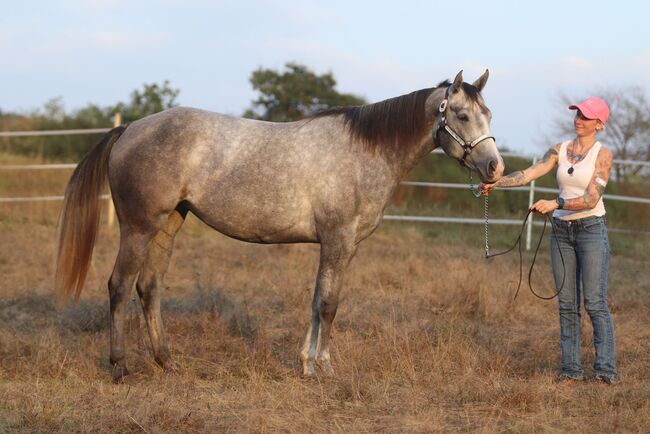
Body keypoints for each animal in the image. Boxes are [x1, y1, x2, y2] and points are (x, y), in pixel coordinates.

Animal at [57, 69, 502, 382]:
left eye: (489, 114)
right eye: (462, 115)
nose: (495, 168)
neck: (364, 152)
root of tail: (129, 128)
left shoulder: (341, 246)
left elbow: (317, 300)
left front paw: (306, 364)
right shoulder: (337, 241)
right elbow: (329, 305)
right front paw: (324, 369)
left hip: (168, 225)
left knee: (148, 287)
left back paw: (167, 362)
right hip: (138, 227)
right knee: (118, 286)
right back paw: (120, 367)